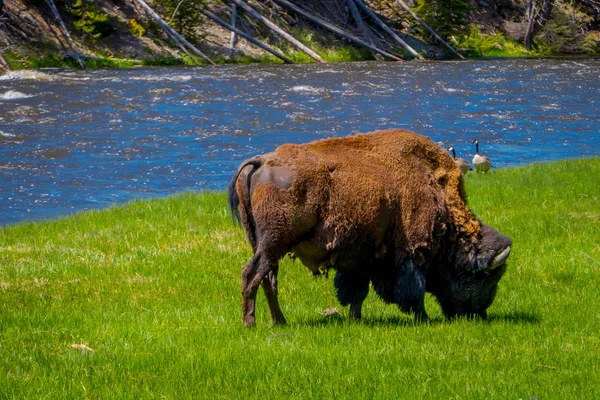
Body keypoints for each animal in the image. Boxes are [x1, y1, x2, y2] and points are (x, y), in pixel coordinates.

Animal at [229, 130, 510, 326]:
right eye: (486, 277)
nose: (479, 314)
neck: (434, 189)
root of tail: (261, 162)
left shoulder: (360, 257)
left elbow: (356, 291)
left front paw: (355, 318)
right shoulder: (412, 252)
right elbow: (413, 290)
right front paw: (424, 318)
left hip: (265, 244)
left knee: (268, 279)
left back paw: (279, 321)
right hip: (273, 243)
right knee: (251, 274)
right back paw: (250, 323)